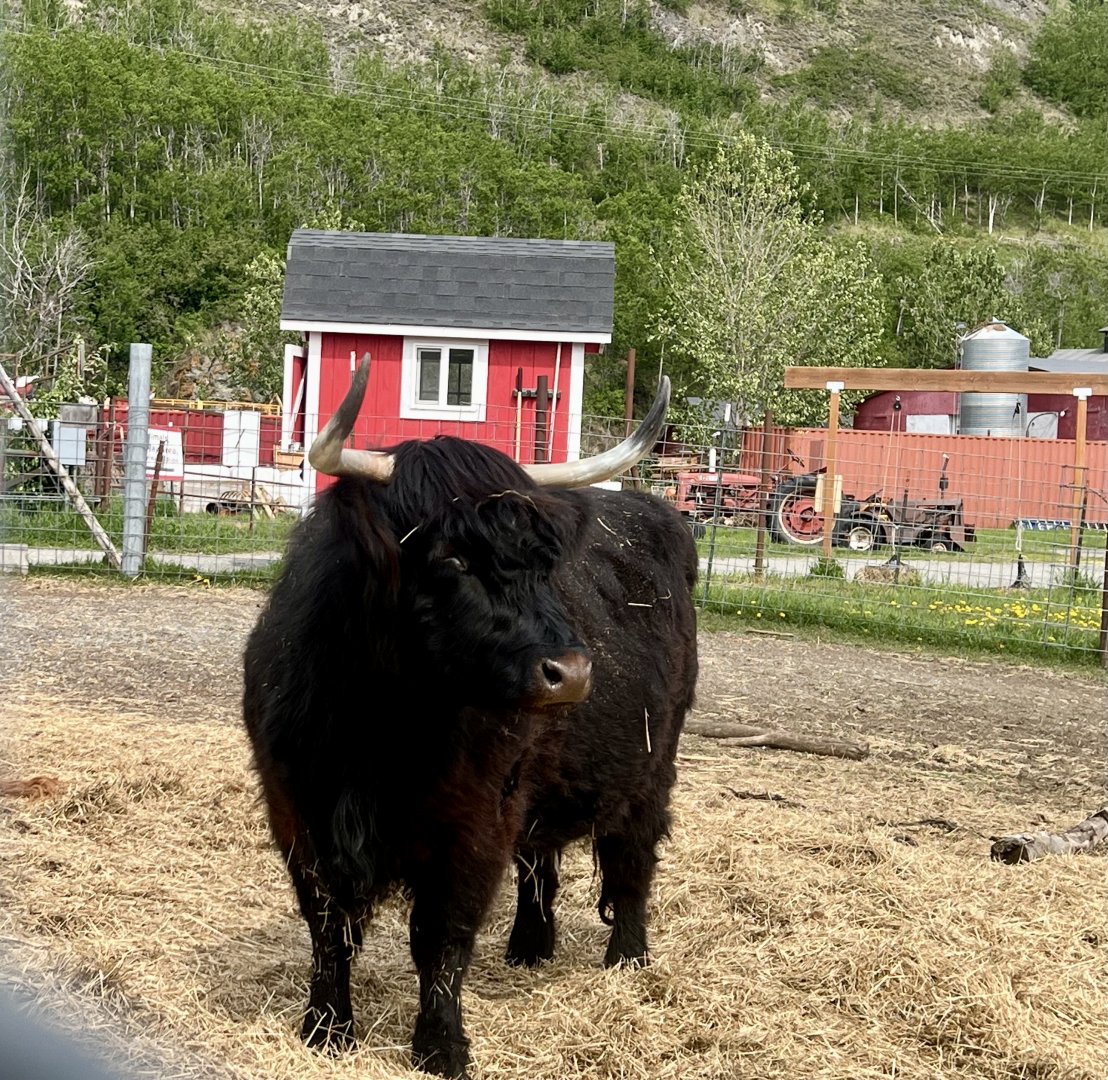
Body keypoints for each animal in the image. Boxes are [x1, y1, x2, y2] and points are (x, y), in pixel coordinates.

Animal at [242, 356, 698, 1079]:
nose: (573, 670)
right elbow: (327, 925)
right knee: (541, 860)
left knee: (632, 858)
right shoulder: (297, 813)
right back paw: (530, 946)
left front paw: (441, 1047)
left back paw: (628, 958)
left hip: (652, 764)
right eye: (451, 558)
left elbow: (442, 937)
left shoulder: (473, 823)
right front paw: (326, 1026)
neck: (376, 728)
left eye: (546, 561)